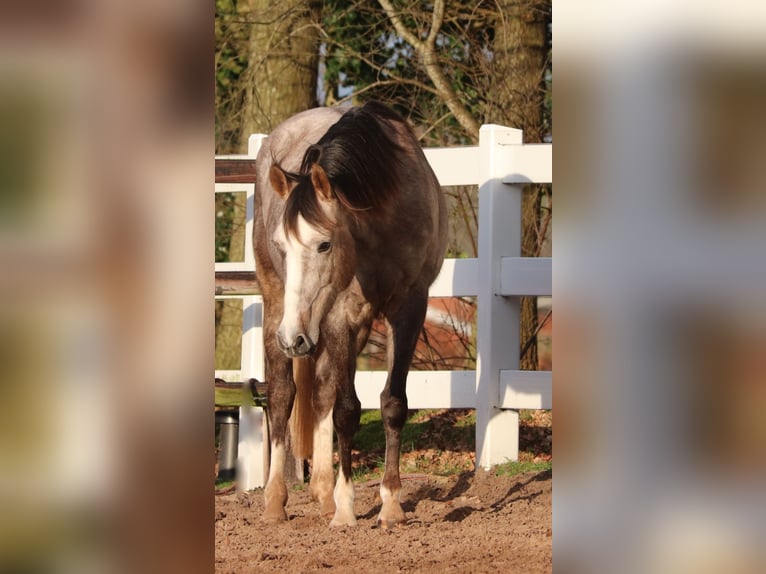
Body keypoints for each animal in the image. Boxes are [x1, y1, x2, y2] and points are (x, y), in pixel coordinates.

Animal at [255, 101, 450, 528]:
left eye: (324, 244)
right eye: (282, 244)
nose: (292, 337)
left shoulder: (409, 307)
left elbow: (393, 403)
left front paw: (391, 505)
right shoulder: (341, 313)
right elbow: (347, 410)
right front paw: (346, 510)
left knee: (322, 390)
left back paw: (323, 492)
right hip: (278, 305)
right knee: (282, 394)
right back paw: (276, 501)